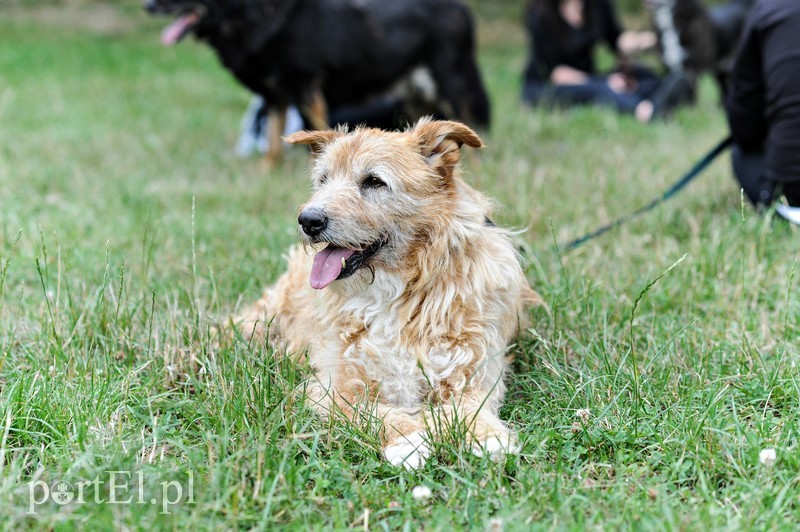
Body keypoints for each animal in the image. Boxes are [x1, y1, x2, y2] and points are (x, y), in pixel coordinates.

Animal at [238, 118, 536, 468]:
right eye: (323, 180)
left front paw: (487, 436)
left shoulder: (474, 371)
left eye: (374, 181)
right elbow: (378, 414)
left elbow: (469, 407)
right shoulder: (336, 387)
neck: (400, 293)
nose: (308, 220)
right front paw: (408, 439)